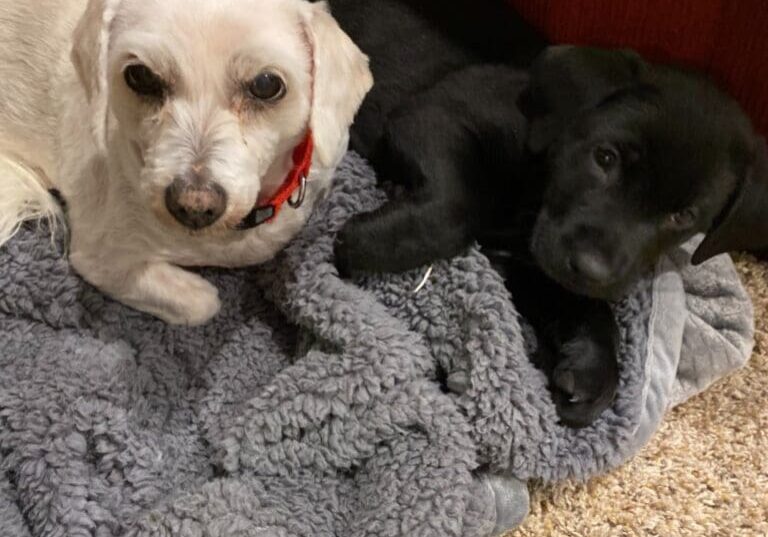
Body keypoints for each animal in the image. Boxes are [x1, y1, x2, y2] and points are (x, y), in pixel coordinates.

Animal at [0, 0, 372, 322]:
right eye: (141, 76)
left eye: (267, 84)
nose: (194, 205)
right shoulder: (97, 254)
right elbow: (203, 303)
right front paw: (200, 289)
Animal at [328, 0, 768, 428]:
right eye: (604, 157)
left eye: (683, 215)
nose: (592, 269)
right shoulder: (434, 114)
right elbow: (454, 211)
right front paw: (364, 241)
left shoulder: (535, 259)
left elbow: (582, 301)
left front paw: (594, 368)